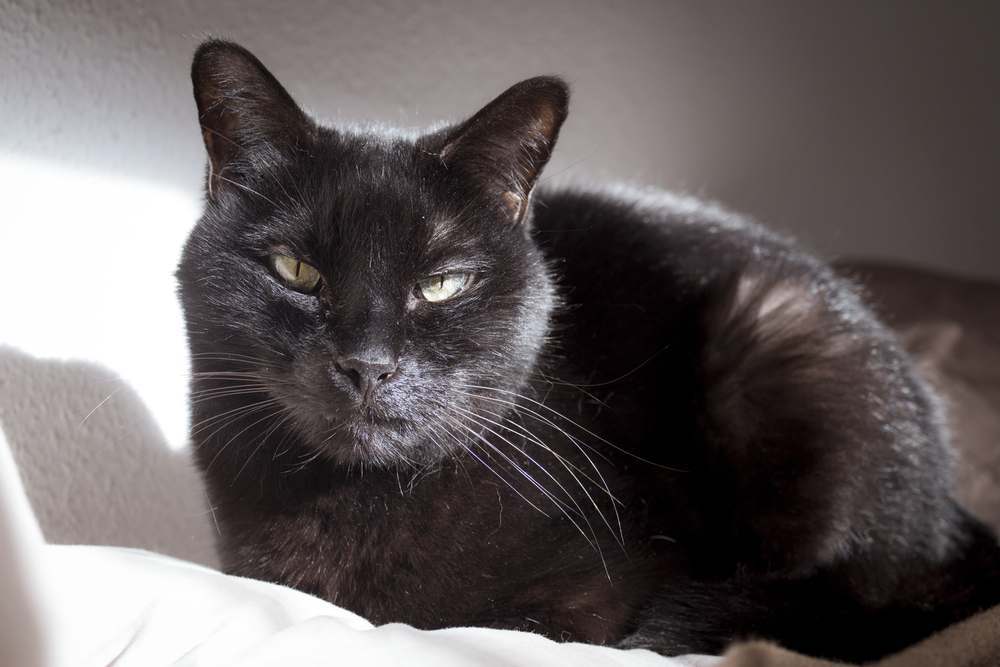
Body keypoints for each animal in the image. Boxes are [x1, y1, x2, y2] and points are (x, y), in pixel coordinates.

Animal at [176, 41, 996, 664]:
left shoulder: (583, 599)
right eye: (296, 271)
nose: (368, 363)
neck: (362, 502)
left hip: (774, 329)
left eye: (441, 284)